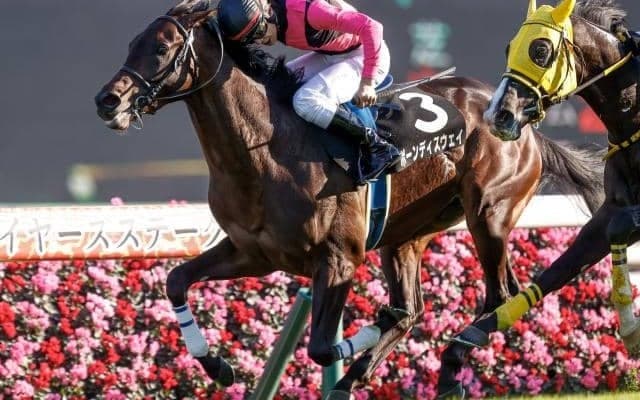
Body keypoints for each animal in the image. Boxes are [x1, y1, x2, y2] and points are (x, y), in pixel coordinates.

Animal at [94, 0, 602, 397]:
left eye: (161, 48)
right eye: (131, 45)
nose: (107, 101)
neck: (263, 150)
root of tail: (523, 123)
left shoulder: (338, 258)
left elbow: (322, 347)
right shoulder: (252, 252)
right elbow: (176, 279)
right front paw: (217, 366)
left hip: (488, 214)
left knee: (498, 293)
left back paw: (437, 370)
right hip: (405, 236)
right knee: (414, 309)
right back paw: (358, 375)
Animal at [437, 0, 640, 398]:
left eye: (540, 50)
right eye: (508, 48)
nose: (498, 115)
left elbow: (621, 227)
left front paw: (631, 330)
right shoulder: (607, 213)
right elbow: (553, 273)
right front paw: (455, 360)